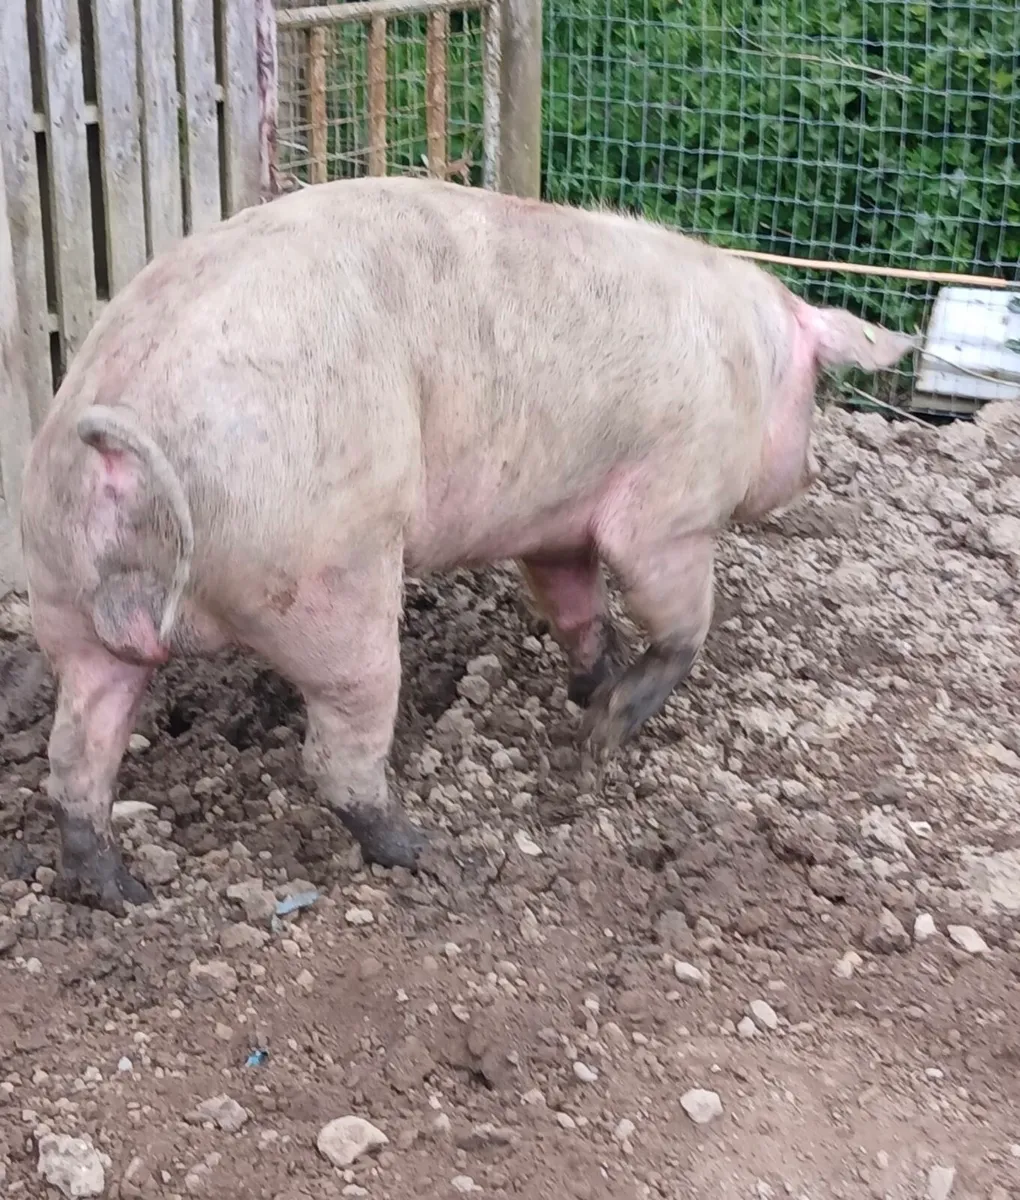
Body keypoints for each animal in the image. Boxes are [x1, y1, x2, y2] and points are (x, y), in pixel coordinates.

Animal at [18, 176, 916, 912]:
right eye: (814, 385)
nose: (812, 470)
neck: (750, 356)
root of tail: (118, 426)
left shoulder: (555, 527)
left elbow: (578, 608)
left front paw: (589, 689)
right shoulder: (671, 506)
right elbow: (679, 622)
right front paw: (601, 739)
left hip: (63, 594)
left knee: (76, 756)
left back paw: (124, 895)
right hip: (324, 577)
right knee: (338, 754)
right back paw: (432, 854)